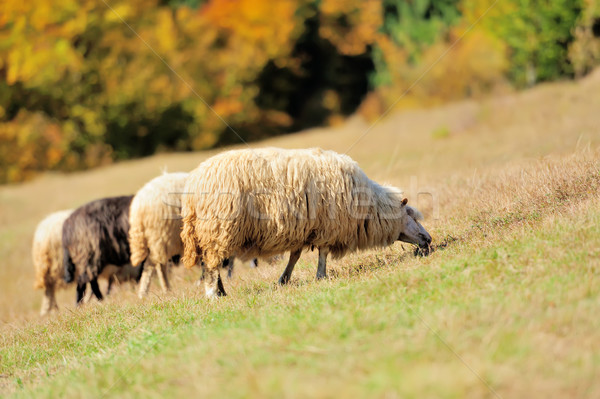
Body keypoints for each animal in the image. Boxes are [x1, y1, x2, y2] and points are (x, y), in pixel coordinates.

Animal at [179, 147, 432, 296]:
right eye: (410, 214)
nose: (428, 240)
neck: (368, 206)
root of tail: (193, 185)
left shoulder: (303, 229)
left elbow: (295, 255)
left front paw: (284, 279)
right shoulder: (328, 226)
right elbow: (323, 253)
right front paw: (321, 276)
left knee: (210, 263)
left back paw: (221, 291)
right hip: (219, 228)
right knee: (212, 264)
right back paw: (213, 294)